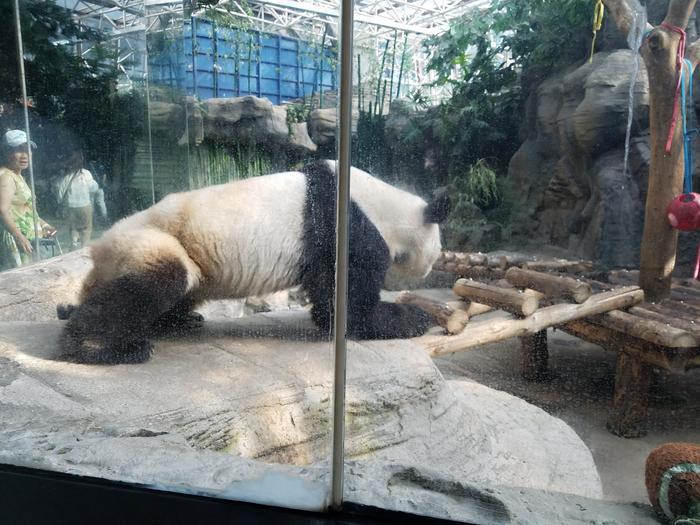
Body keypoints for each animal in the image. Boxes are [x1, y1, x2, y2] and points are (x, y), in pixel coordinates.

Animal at [56, 161, 448, 364]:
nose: (430, 271)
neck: (382, 205)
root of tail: (98, 251)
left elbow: (332, 302)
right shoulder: (343, 226)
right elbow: (349, 304)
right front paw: (413, 317)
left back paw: (180, 321)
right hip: (152, 239)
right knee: (153, 283)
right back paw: (102, 347)